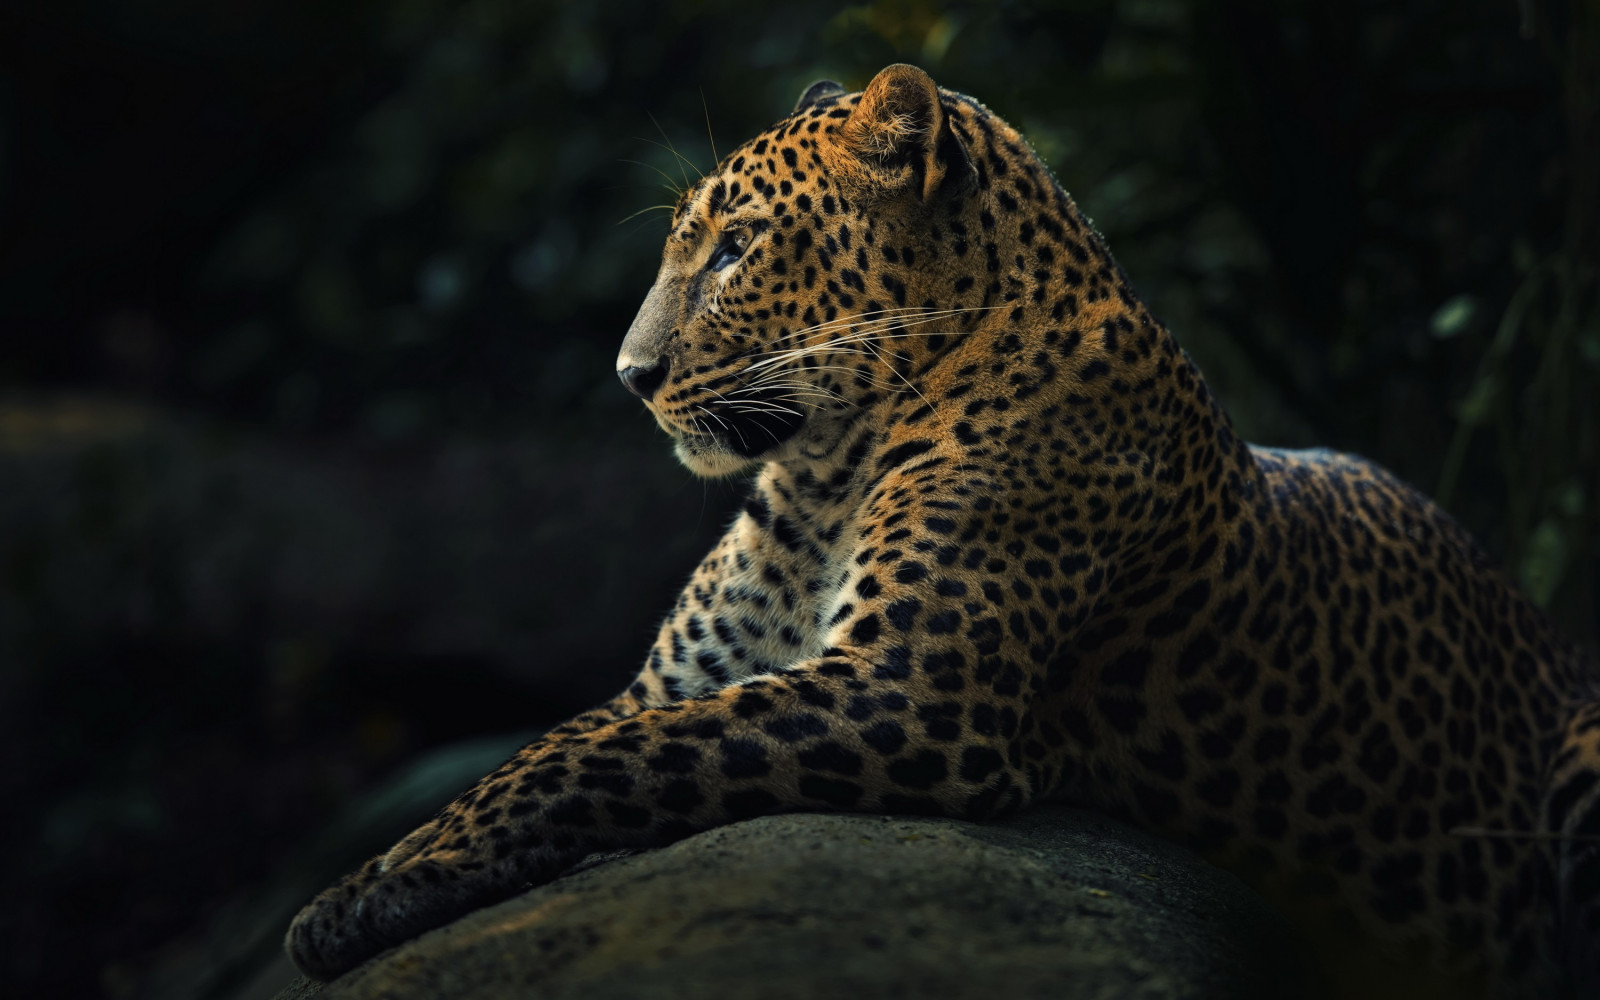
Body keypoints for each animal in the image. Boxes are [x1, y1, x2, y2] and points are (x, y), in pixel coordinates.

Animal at [284, 64, 1600, 998]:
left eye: (736, 247)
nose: (630, 377)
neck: (819, 477)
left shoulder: (909, 693)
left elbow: (587, 758)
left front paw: (369, 898)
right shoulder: (676, 678)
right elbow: (544, 749)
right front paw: (369, 880)